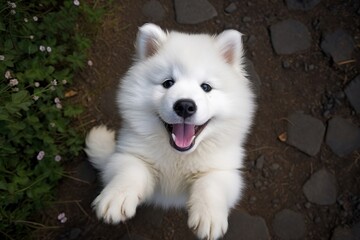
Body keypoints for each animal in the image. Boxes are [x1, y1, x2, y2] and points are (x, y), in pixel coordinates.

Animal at [85, 23, 256, 240]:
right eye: (168, 83)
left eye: (206, 87)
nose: (184, 106)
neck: (178, 157)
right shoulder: (130, 153)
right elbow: (130, 171)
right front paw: (117, 197)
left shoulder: (224, 170)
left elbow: (211, 184)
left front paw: (209, 216)